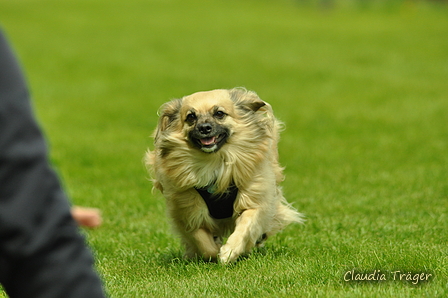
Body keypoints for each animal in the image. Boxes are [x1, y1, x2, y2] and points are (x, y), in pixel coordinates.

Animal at [145, 88, 302, 264]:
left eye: (219, 113)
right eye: (191, 117)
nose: (204, 128)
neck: (213, 162)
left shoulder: (254, 200)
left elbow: (246, 225)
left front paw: (230, 251)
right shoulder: (187, 211)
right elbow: (201, 240)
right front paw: (215, 252)